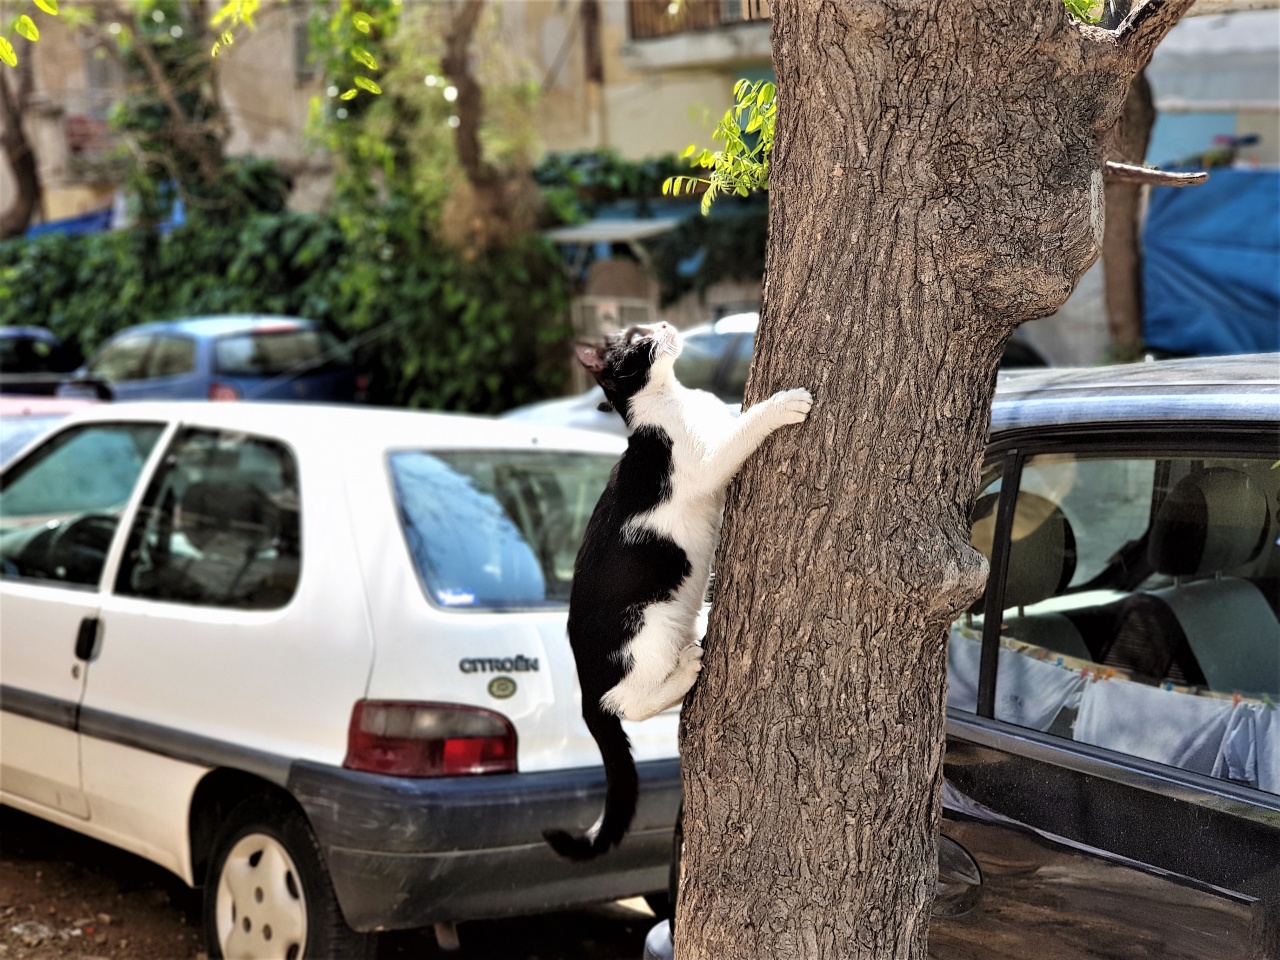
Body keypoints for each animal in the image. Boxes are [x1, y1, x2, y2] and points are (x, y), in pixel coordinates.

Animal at [543, 320, 812, 860]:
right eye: (636, 337)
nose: (664, 326)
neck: (675, 397)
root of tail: (584, 681)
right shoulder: (707, 463)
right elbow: (745, 426)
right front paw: (783, 403)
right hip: (651, 625)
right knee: (628, 701)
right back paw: (685, 670)